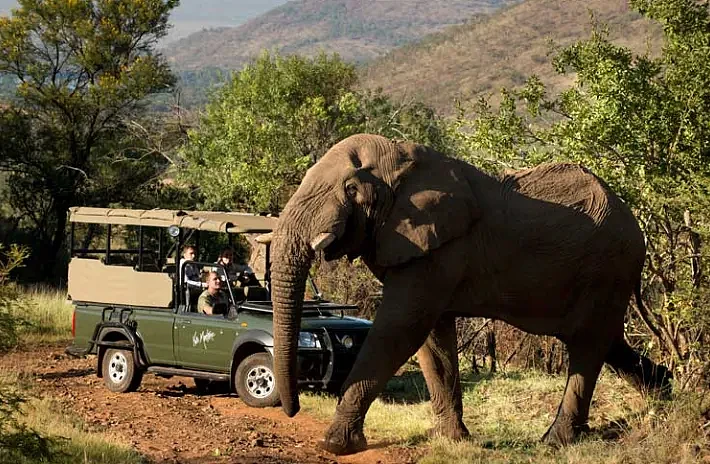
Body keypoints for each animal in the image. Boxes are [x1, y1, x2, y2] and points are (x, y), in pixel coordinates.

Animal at [272, 132, 672, 454]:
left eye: (351, 189)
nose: (292, 410)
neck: (402, 158)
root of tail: (638, 227)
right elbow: (432, 340)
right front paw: (453, 441)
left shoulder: (441, 249)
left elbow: (400, 329)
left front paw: (335, 445)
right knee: (607, 342)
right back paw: (666, 395)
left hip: (608, 269)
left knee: (588, 347)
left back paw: (554, 442)